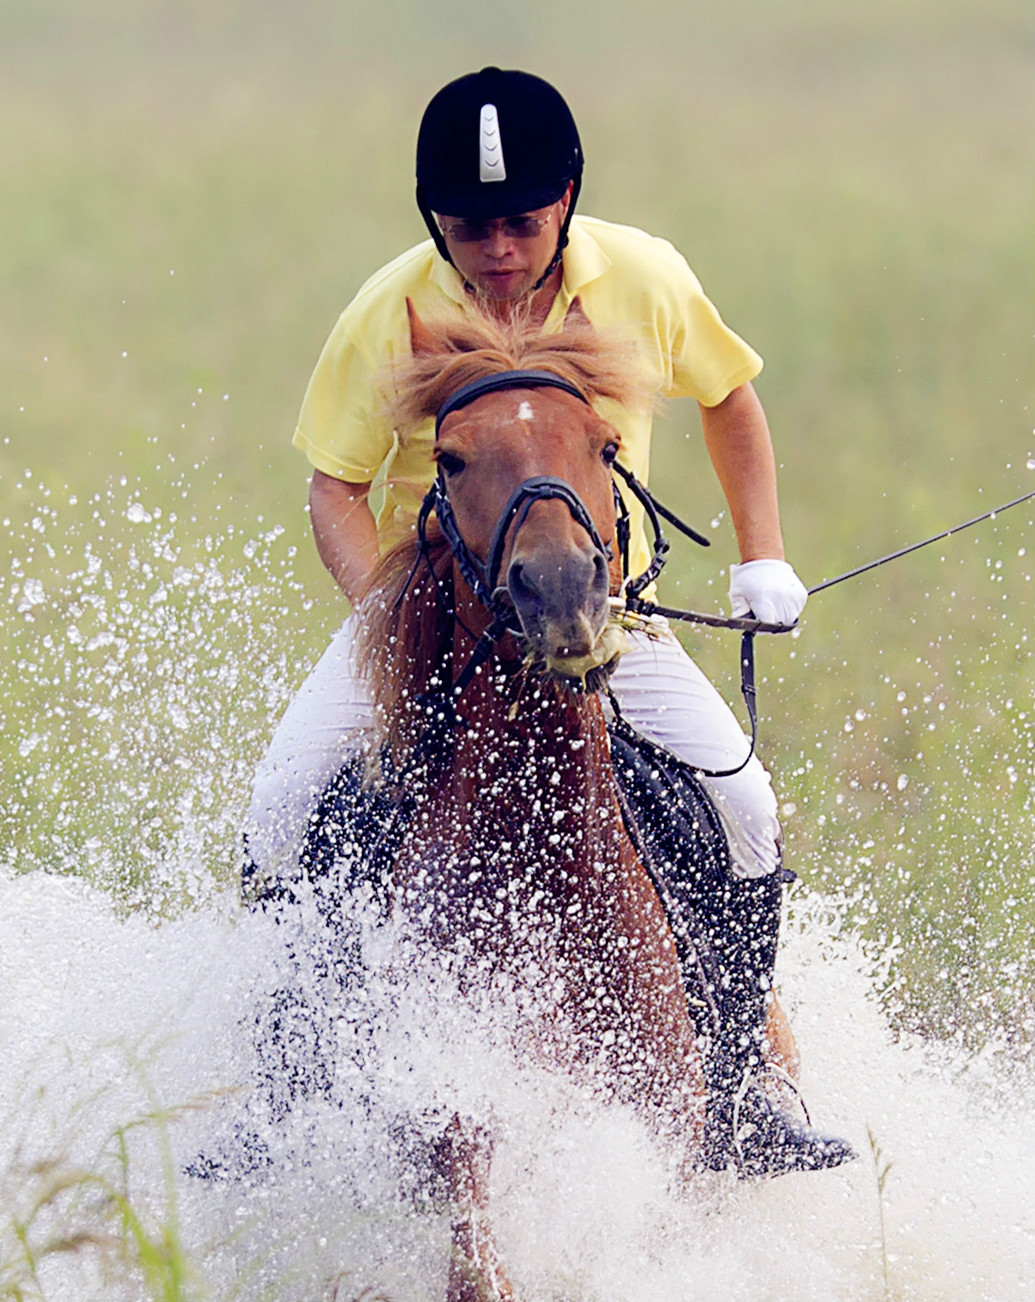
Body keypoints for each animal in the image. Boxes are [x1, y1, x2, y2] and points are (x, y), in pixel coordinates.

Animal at [351, 304, 708, 1302]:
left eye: (604, 443)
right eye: (450, 459)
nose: (558, 589)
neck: (538, 868)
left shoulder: (663, 1131)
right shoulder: (452, 1093)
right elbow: (473, 1238)